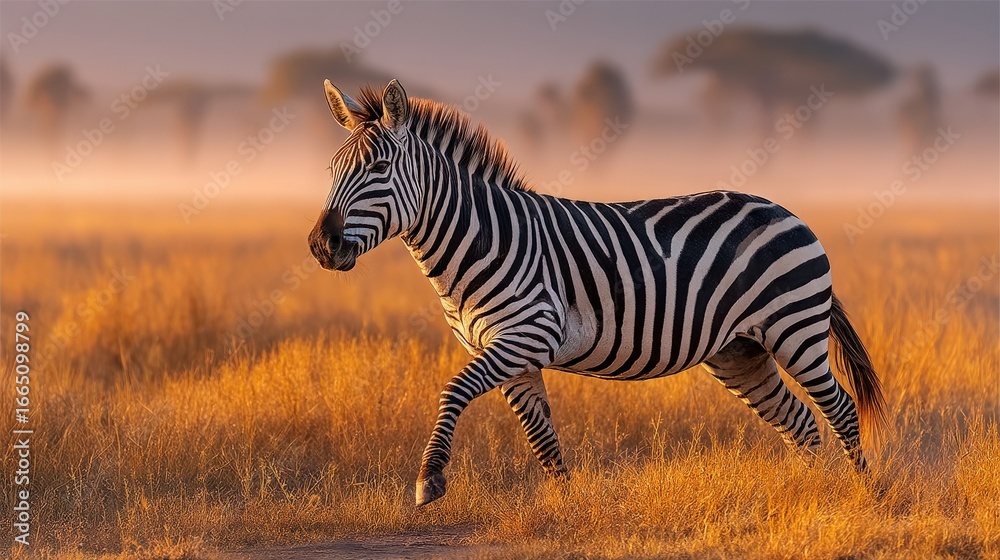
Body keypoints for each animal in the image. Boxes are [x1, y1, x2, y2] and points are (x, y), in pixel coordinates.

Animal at [308, 79, 889, 507]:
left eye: (379, 168)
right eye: (332, 170)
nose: (321, 245)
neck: (482, 239)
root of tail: (786, 211)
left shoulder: (526, 334)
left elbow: (453, 390)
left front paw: (429, 479)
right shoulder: (510, 354)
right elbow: (541, 436)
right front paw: (566, 506)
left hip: (794, 329)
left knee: (839, 407)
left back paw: (865, 494)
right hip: (739, 351)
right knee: (799, 421)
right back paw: (806, 492)